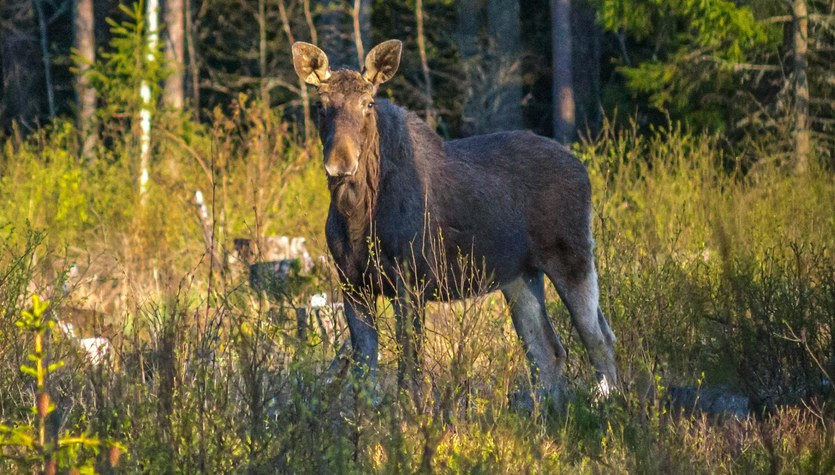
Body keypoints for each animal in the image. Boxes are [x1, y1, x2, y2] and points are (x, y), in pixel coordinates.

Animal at [290, 40, 616, 406]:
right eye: (320, 105)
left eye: (369, 103)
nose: (341, 163)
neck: (357, 215)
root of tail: (583, 168)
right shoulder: (352, 283)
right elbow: (365, 375)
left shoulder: (411, 281)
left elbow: (410, 367)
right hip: (519, 276)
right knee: (548, 350)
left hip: (572, 257)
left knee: (600, 339)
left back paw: (608, 403)